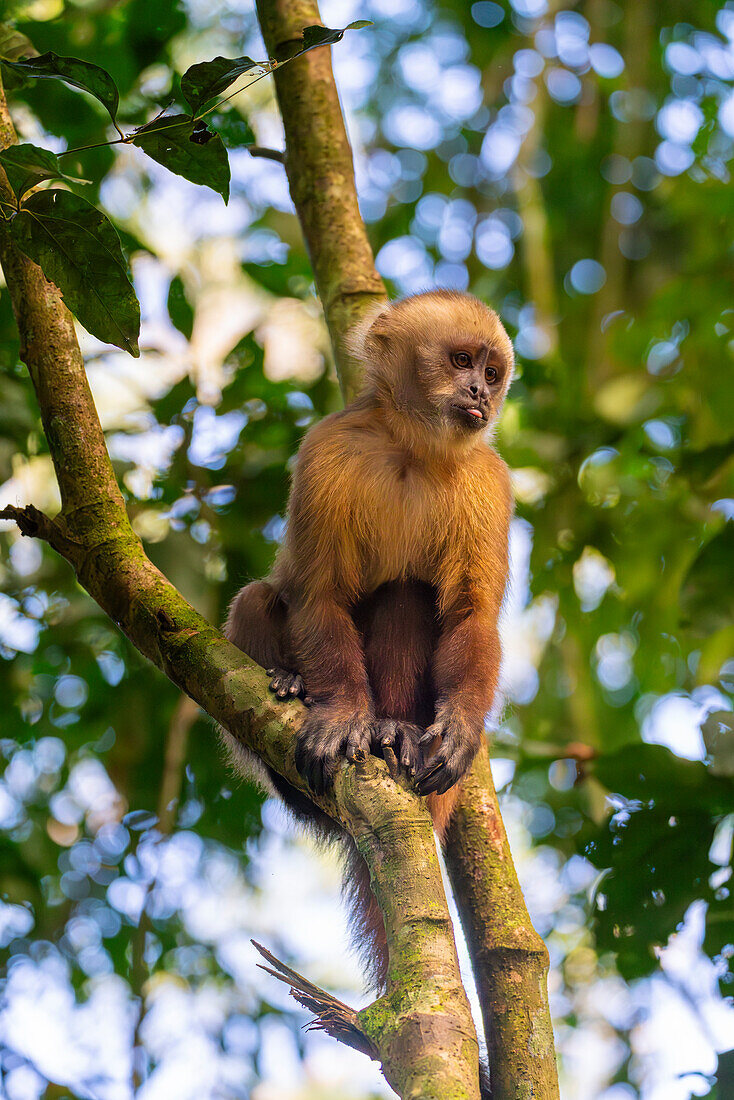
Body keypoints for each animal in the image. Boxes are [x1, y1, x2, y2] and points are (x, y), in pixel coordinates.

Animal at [224, 286, 510, 990]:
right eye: (461, 360)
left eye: (492, 372)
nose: (480, 394)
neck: (413, 448)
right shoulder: (330, 446)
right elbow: (318, 594)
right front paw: (341, 714)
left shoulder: (488, 478)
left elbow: (471, 616)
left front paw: (457, 726)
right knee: (260, 598)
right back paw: (300, 691)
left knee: (407, 594)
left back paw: (396, 734)